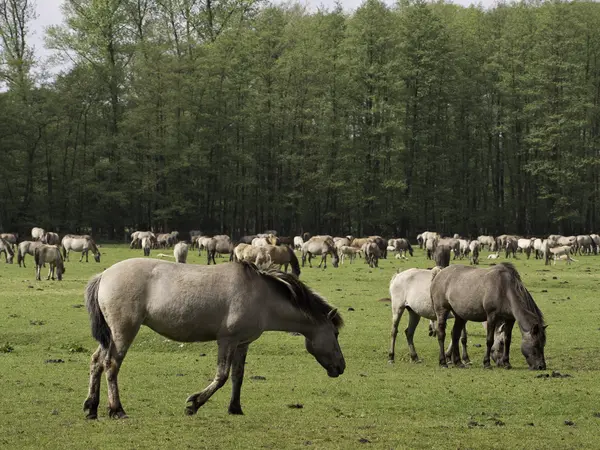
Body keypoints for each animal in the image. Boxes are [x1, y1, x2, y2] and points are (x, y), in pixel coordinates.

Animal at [82, 258, 344, 420]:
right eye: (336, 333)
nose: (341, 367)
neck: (263, 296)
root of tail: (104, 275)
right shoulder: (227, 341)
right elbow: (222, 376)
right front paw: (194, 403)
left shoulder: (242, 343)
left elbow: (238, 376)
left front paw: (235, 408)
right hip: (123, 332)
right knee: (111, 365)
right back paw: (116, 410)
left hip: (111, 336)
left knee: (96, 362)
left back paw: (91, 408)